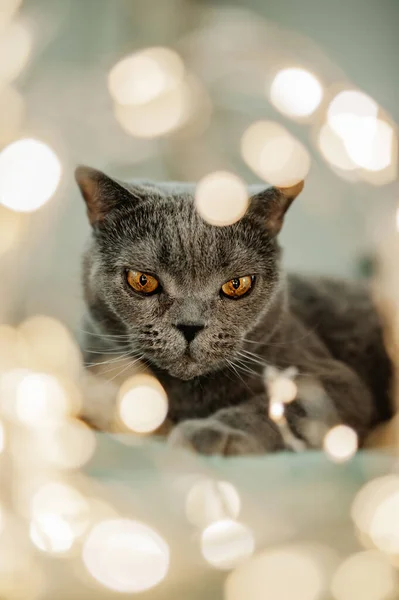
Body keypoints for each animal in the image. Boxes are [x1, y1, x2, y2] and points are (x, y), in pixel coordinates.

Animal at [76, 165, 394, 454]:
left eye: (237, 284)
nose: (190, 326)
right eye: (142, 280)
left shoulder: (336, 381)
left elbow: (279, 407)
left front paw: (214, 431)